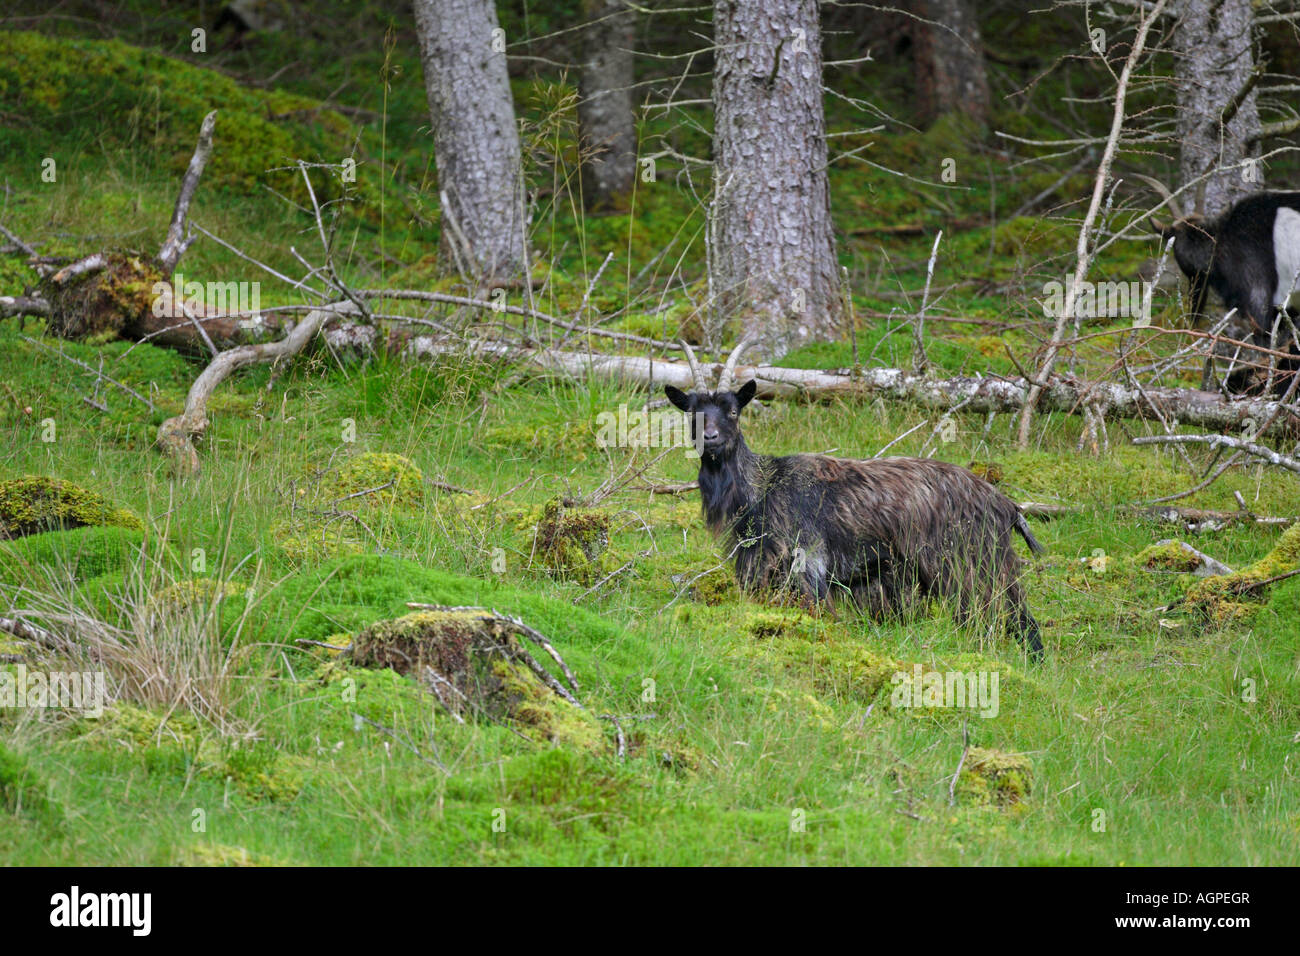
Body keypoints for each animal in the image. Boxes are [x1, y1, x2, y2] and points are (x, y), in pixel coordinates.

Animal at [665, 336, 1045, 657]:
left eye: (733, 410)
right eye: (692, 411)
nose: (711, 438)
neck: (766, 485)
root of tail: (1004, 504)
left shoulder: (807, 565)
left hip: (974, 566)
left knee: (1014, 620)